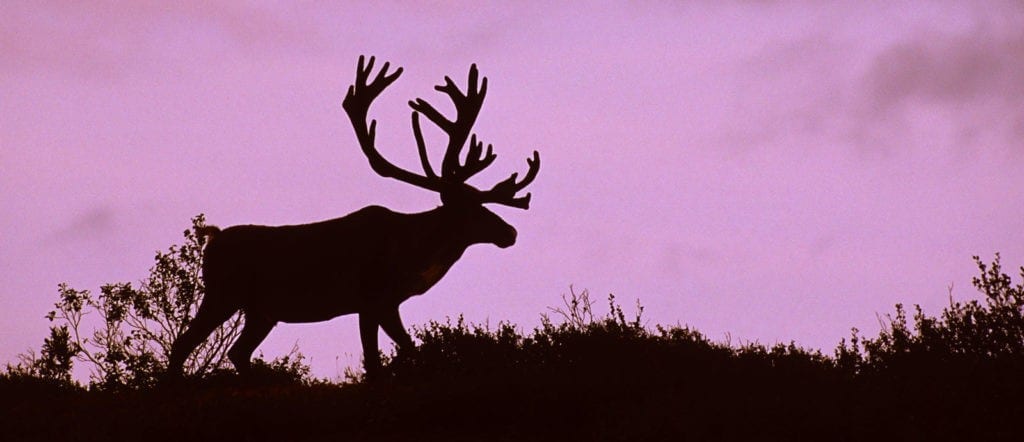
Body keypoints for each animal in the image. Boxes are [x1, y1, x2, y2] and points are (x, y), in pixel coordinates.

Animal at [166, 56, 539, 379]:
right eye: (470, 207)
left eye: (483, 200)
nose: (510, 232)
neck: (412, 253)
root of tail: (212, 237)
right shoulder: (370, 298)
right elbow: (374, 363)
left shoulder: (388, 303)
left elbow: (408, 350)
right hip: (221, 294)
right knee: (182, 345)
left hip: (260, 311)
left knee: (237, 352)